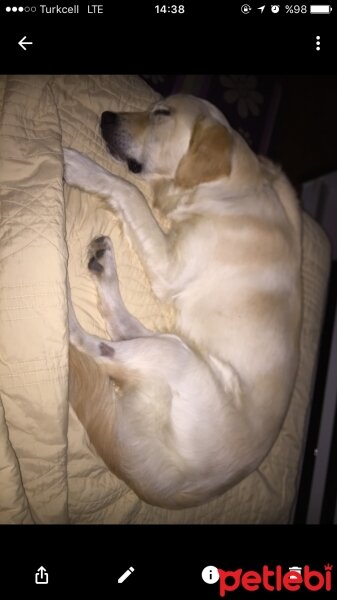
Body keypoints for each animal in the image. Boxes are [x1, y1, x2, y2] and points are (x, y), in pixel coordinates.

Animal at [64, 94, 300, 506]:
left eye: (162, 114)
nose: (106, 116)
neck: (230, 193)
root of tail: (161, 486)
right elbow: (132, 194)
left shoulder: (171, 265)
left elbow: (128, 190)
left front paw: (83, 168)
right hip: (175, 344)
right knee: (120, 325)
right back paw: (104, 266)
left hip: (176, 355)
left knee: (98, 350)